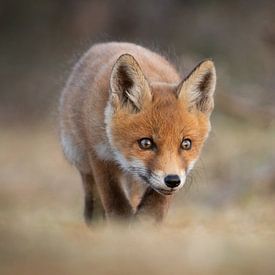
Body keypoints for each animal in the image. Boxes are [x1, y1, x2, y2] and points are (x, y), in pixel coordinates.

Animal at [59, 42, 217, 224]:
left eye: (186, 144)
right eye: (146, 143)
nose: (172, 181)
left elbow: (152, 212)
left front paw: (142, 226)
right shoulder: (100, 156)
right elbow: (117, 207)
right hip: (80, 158)